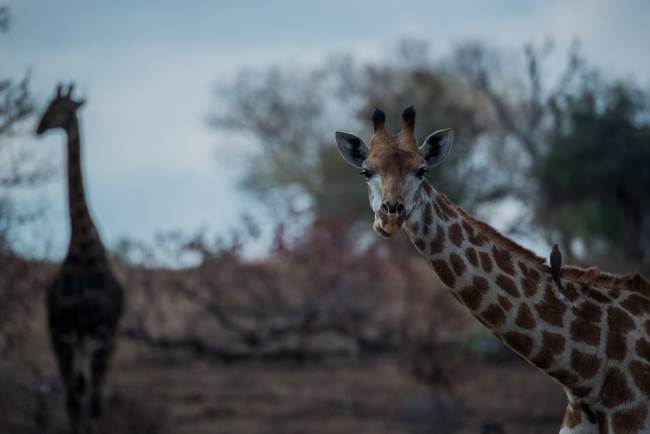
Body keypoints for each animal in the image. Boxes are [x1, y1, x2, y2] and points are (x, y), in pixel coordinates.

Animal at [35, 84, 123, 430]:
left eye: (65, 109)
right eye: (47, 105)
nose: (39, 126)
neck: (83, 254)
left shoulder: (100, 333)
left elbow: (91, 403)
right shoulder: (62, 330)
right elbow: (73, 403)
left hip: (103, 341)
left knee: (92, 397)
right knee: (78, 395)